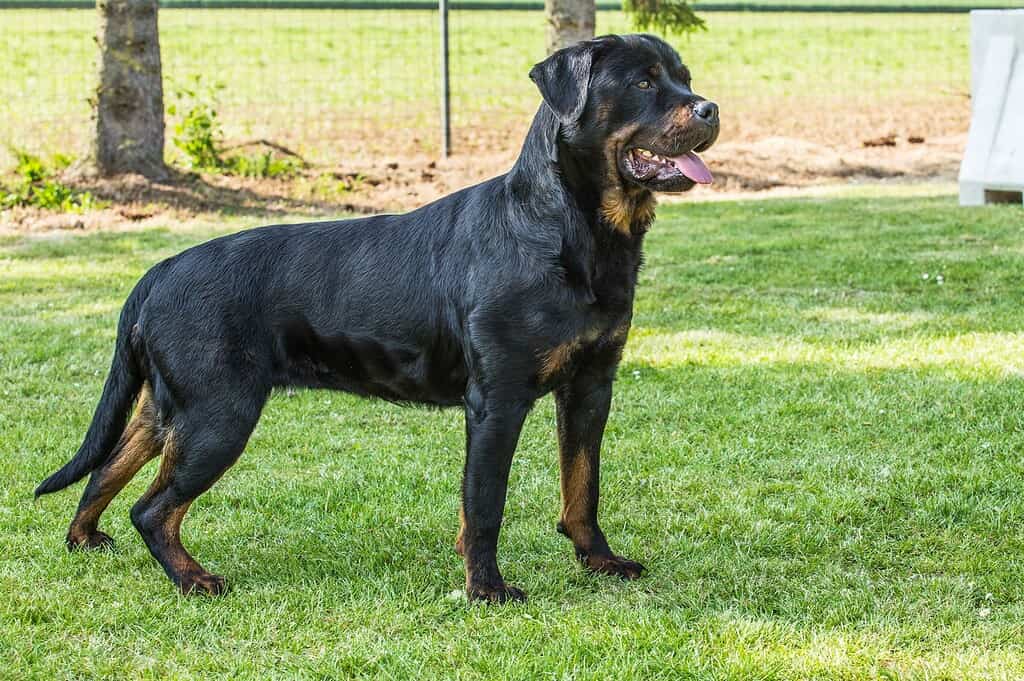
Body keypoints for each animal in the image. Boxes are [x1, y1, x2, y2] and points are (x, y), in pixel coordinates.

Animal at [37, 34, 720, 602]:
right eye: (643, 83)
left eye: (684, 78)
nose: (710, 108)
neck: (574, 233)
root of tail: (157, 271)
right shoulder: (497, 399)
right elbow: (486, 503)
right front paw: (487, 589)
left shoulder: (590, 386)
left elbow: (583, 485)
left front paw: (598, 561)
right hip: (217, 413)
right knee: (152, 509)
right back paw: (195, 579)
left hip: (167, 407)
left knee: (105, 469)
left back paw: (86, 540)